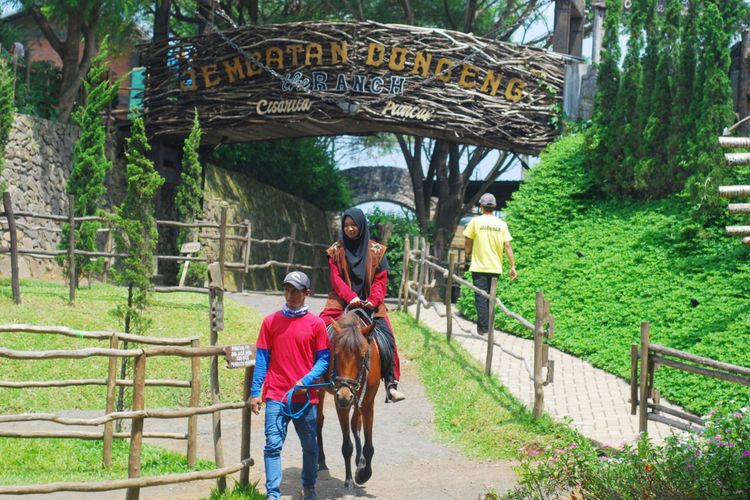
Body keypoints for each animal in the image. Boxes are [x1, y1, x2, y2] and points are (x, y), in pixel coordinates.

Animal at [316, 310, 382, 498]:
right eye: (336, 354)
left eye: (362, 357)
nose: (344, 395)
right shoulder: (341, 405)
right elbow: (347, 446)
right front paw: (350, 480)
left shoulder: (367, 402)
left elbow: (368, 446)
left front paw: (363, 472)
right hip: (320, 390)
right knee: (319, 421)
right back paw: (321, 464)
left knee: (355, 424)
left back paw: (360, 461)